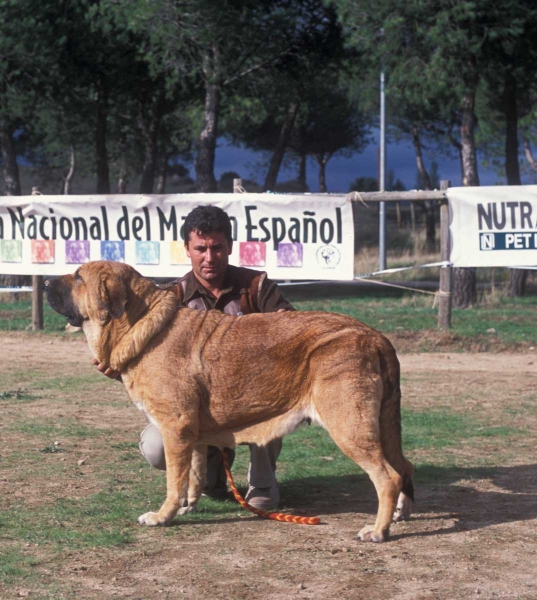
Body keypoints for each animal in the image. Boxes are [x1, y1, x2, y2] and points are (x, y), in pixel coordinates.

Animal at [46, 260, 414, 540]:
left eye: (78, 277)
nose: (47, 280)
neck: (143, 325)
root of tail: (376, 337)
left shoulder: (174, 427)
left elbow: (173, 481)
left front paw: (163, 516)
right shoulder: (190, 435)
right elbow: (192, 476)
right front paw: (188, 506)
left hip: (349, 428)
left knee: (387, 477)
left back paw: (377, 531)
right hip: (380, 428)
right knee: (404, 467)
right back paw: (399, 514)